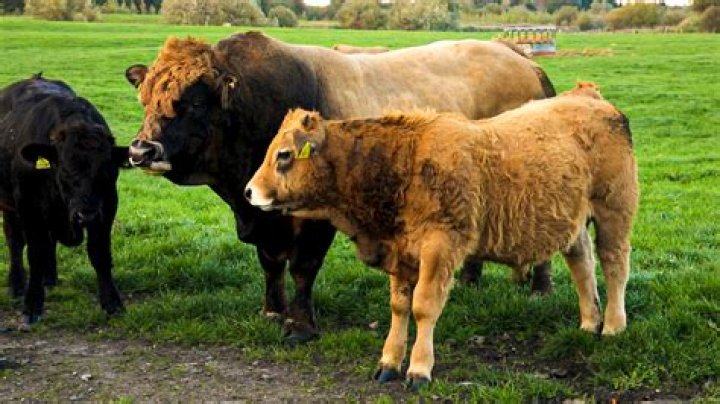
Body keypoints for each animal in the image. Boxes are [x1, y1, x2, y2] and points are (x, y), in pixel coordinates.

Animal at [0, 74, 129, 327]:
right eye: (65, 171)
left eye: (107, 172)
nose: (85, 213)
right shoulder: (29, 207)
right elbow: (35, 253)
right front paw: (32, 305)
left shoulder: (107, 206)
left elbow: (100, 254)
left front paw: (112, 303)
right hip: (8, 204)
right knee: (15, 241)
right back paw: (17, 284)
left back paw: (50, 278)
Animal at [123, 32, 557, 343]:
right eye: (145, 99)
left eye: (195, 103)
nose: (141, 150)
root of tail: (518, 56)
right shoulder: (261, 215)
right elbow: (270, 263)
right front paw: (272, 311)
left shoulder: (316, 219)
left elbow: (302, 267)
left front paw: (300, 326)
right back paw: (469, 281)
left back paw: (540, 288)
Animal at [245, 82, 639, 388]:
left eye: (284, 155)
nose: (249, 192)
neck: (402, 161)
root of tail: (588, 96)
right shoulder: (400, 251)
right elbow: (399, 306)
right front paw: (389, 362)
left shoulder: (440, 247)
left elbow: (423, 307)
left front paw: (419, 369)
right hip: (572, 221)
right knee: (583, 266)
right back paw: (589, 322)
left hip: (614, 210)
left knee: (614, 265)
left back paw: (613, 326)